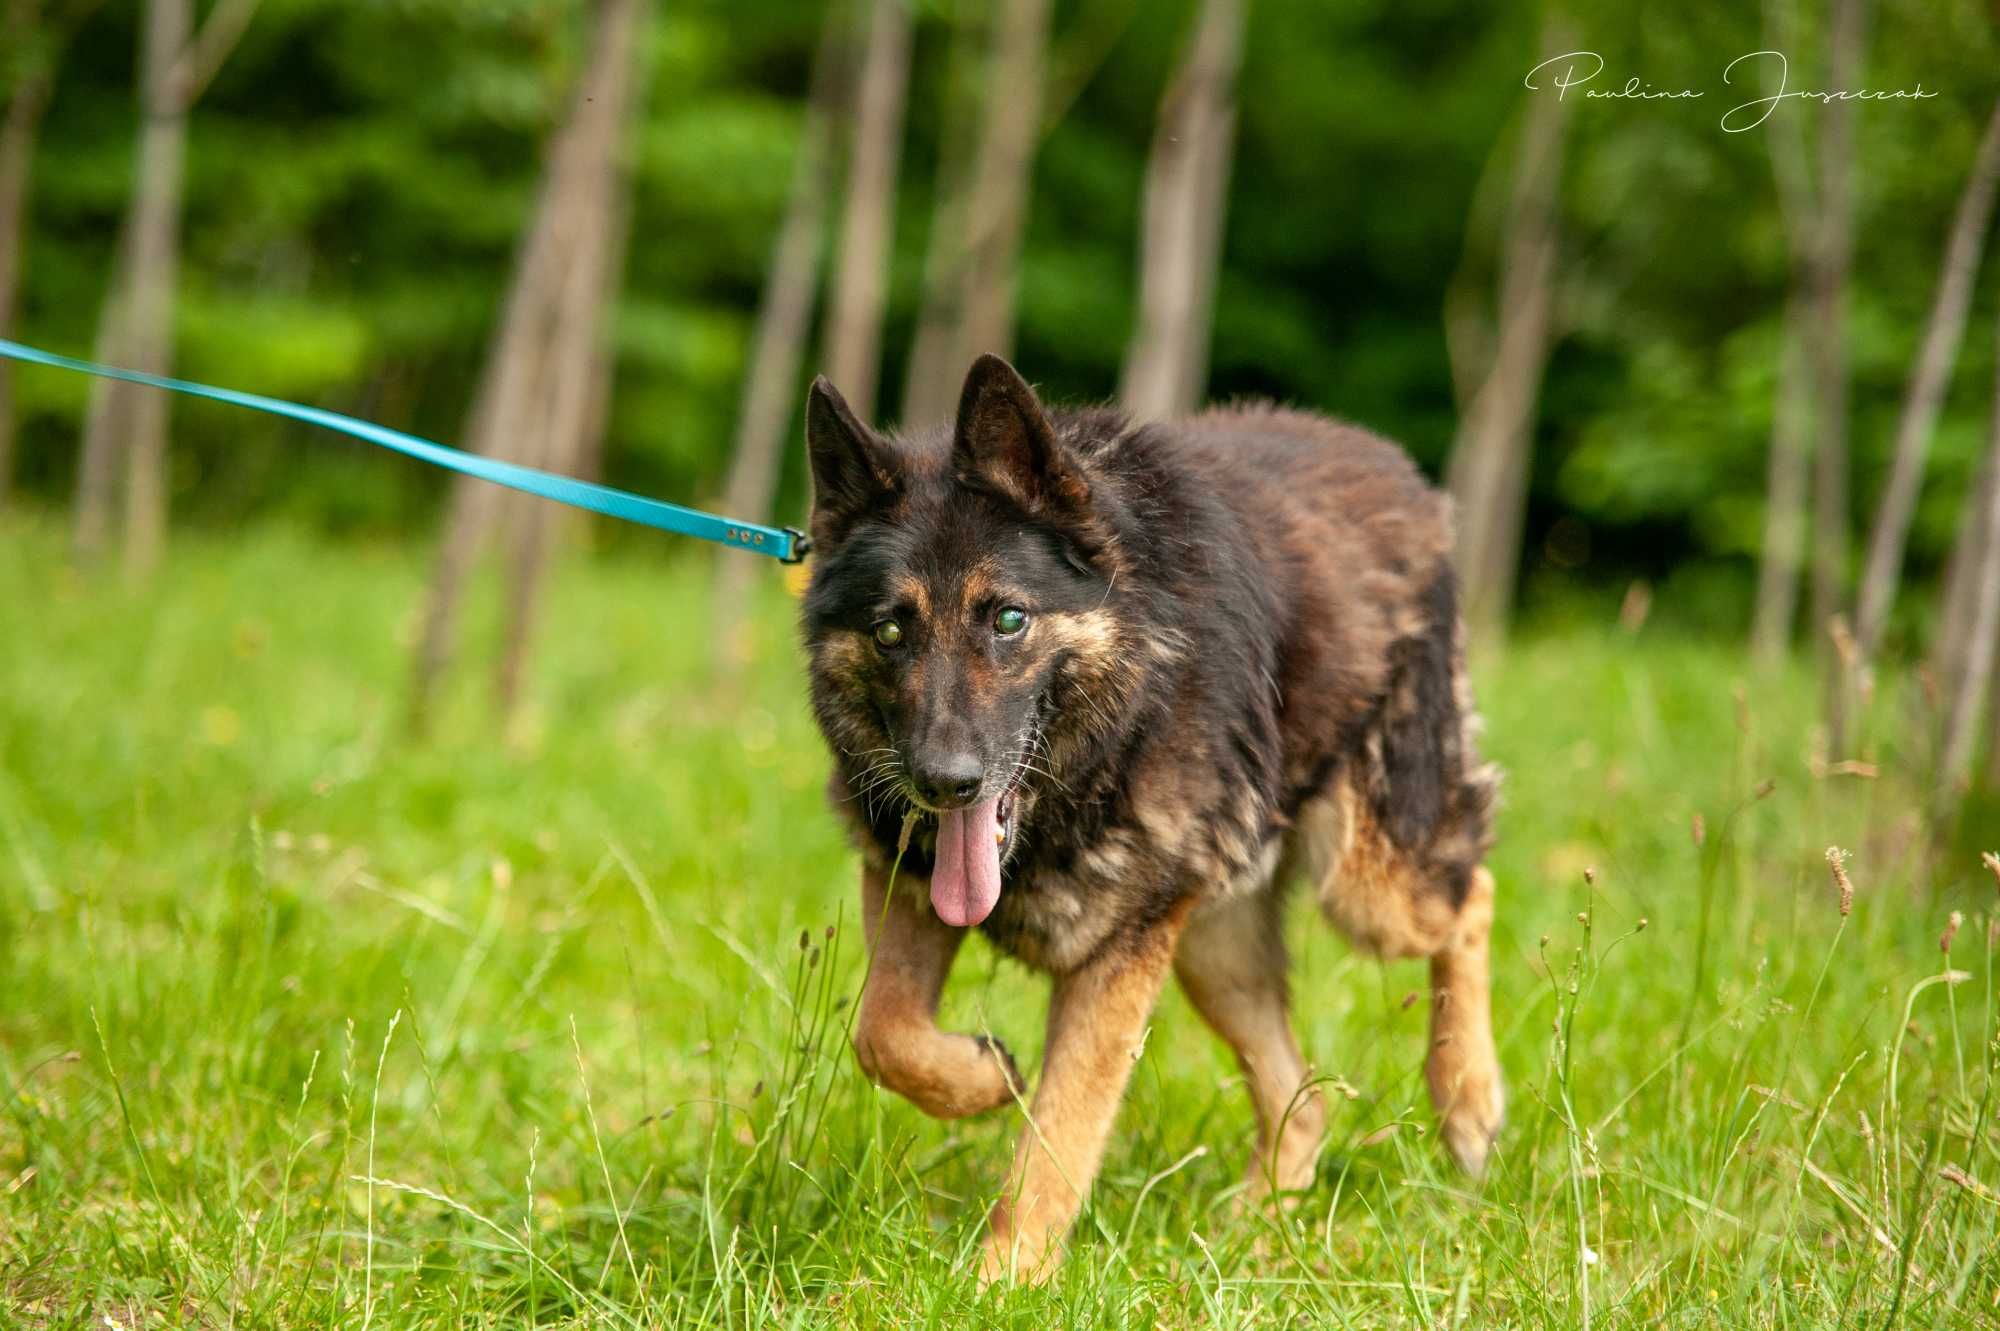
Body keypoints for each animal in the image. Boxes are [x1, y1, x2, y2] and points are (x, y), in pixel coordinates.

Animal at [796, 349, 1504, 1279]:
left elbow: (1058, 1132)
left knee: (1472, 894)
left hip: (1368, 883)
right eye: (888, 631)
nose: (946, 782)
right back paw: (1256, 1228)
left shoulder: (1119, 956)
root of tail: (1399, 471)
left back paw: (1466, 1096)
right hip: (1213, 941)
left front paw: (1004, 1281)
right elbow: (883, 1032)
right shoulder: (911, 885)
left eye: (1010, 618)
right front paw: (985, 1078)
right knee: (1300, 1093)